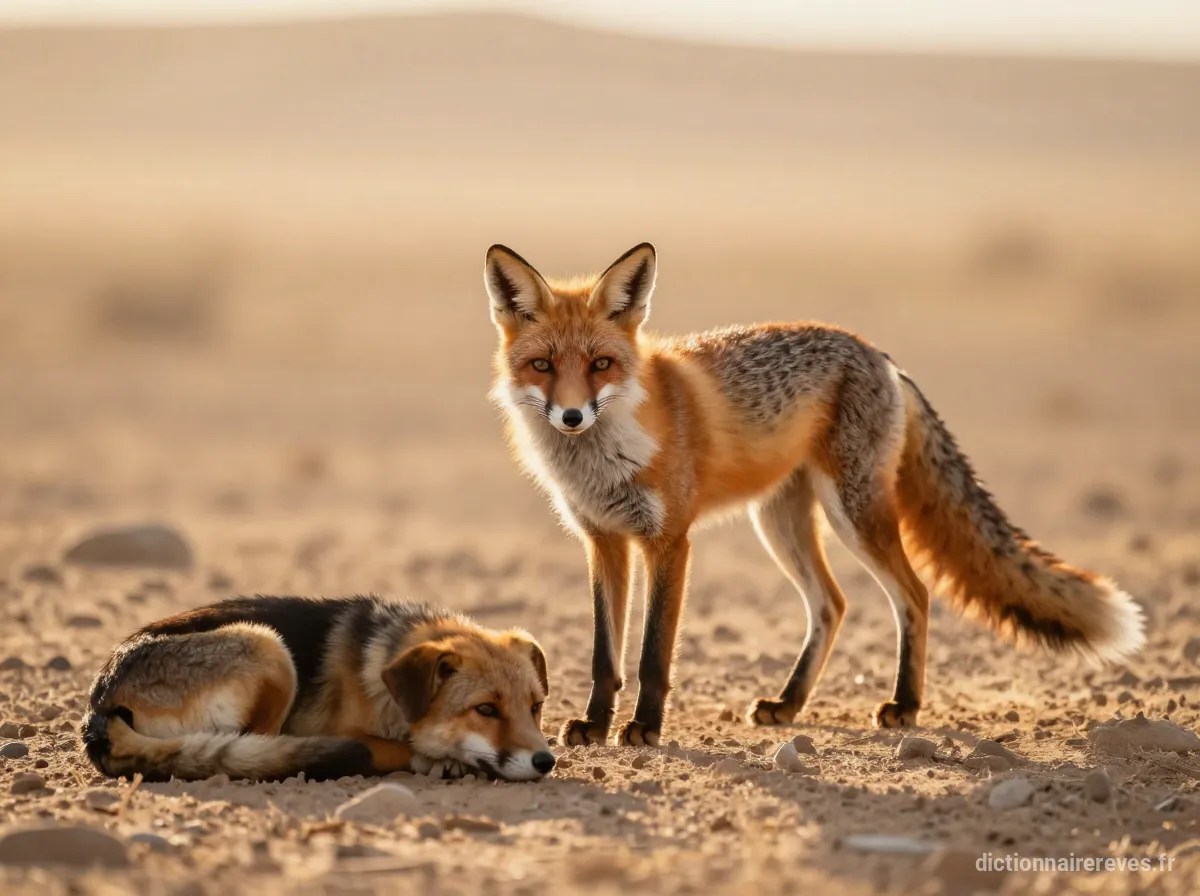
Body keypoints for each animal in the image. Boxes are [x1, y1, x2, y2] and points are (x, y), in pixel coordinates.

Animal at [81, 595, 555, 782]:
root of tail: (98, 709)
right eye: (486, 710)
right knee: (264, 751)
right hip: (268, 647)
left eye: (534, 707)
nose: (546, 761)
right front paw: (433, 759)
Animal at [485, 241, 1145, 747]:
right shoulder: (604, 540)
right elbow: (605, 656)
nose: (571, 417)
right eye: (543, 365)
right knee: (832, 603)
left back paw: (904, 705)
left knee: (914, 593)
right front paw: (595, 726)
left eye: (601, 364)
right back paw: (789, 703)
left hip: (852, 512)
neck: (602, 457)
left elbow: (651, 656)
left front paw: (645, 729)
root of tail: (880, 355)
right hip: (779, 522)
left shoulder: (669, 539)